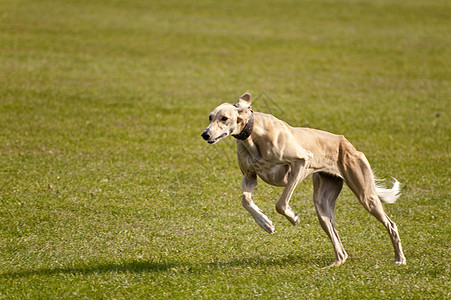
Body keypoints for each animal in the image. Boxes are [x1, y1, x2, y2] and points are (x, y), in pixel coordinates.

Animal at [200, 92, 406, 266]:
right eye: (210, 117)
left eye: (224, 118)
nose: (205, 134)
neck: (252, 134)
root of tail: (348, 144)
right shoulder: (249, 176)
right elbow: (245, 200)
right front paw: (265, 223)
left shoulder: (301, 162)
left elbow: (281, 204)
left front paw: (293, 217)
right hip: (323, 205)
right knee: (339, 246)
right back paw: (335, 264)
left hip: (366, 195)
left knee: (391, 225)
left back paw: (400, 259)